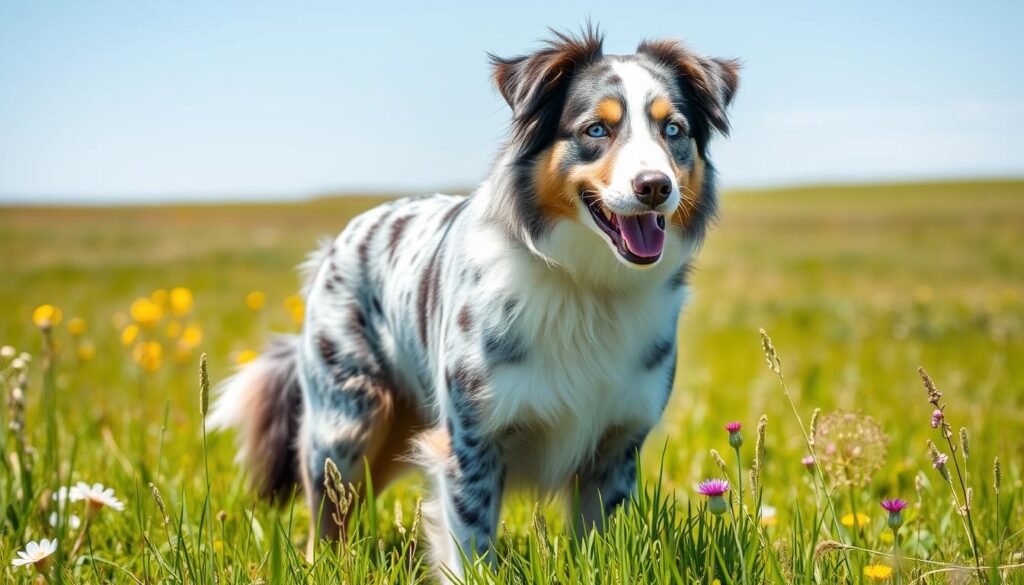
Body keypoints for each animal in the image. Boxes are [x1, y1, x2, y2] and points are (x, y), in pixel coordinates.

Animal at [207, 27, 737, 581]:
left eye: (673, 129)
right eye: (596, 129)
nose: (654, 186)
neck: (587, 289)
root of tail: (336, 242)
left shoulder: (615, 442)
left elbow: (600, 538)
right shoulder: (472, 438)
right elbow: (470, 539)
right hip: (348, 422)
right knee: (328, 513)